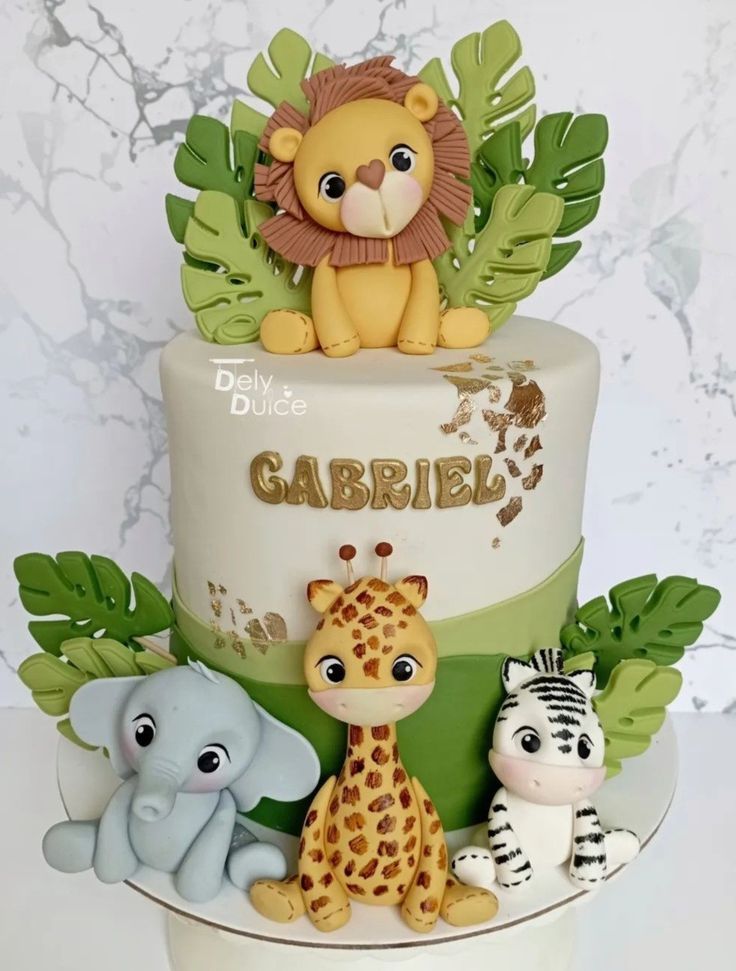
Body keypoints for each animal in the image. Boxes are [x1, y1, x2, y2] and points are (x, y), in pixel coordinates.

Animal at [43, 660, 320, 904]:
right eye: (143, 733)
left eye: (210, 761)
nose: (149, 806)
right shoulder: (127, 790)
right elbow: (114, 824)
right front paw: (114, 871)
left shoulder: (224, 811)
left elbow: (212, 844)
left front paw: (194, 893)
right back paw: (64, 843)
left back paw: (257, 861)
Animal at [448, 648, 640, 892]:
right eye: (529, 742)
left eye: (585, 748)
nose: (558, 782)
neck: (544, 806)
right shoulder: (499, 805)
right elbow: (507, 847)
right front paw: (517, 884)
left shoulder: (584, 807)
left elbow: (590, 842)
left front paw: (588, 879)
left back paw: (624, 843)